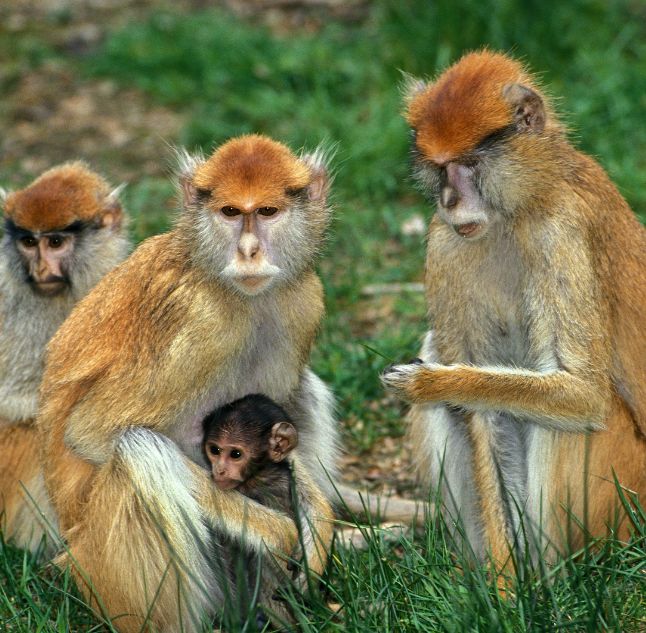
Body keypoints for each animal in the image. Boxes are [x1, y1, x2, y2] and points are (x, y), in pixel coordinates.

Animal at [36, 135, 337, 633]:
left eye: (268, 212)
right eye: (230, 212)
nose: (249, 251)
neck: (217, 275)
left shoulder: (302, 301)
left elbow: (279, 418)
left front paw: (322, 526)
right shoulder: (200, 320)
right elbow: (93, 434)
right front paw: (281, 532)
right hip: (110, 578)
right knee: (139, 449)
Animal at [381, 51, 646, 571]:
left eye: (469, 164)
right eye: (440, 169)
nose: (449, 200)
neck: (518, 207)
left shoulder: (560, 233)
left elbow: (583, 395)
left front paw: (433, 383)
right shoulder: (446, 243)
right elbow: (482, 416)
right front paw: (505, 584)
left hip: (620, 501)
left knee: (566, 417)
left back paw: (553, 576)